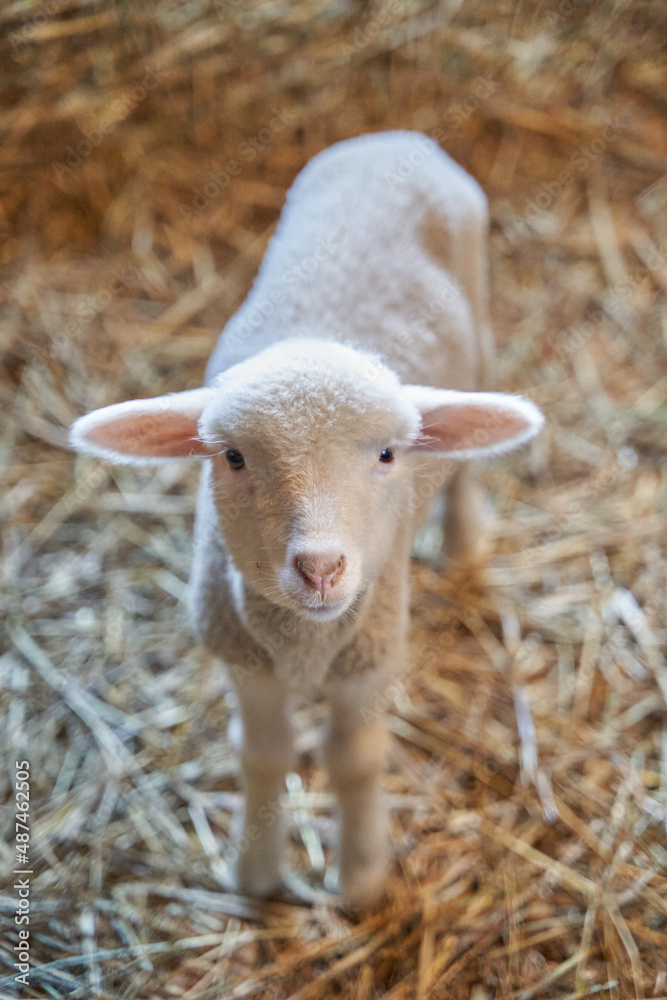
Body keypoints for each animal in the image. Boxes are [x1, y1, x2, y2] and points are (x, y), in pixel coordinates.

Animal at [70, 131, 544, 908]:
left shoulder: (370, 656)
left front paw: (361, 879)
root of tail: (393, 139)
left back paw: (463, 540)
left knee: (469, 454)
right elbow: (262, 754)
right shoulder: (243, 658)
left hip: (476, 311)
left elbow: (353, 759)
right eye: (232, 457)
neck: (304, 645)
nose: (320, 568)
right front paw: (257, 874)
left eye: (388, 454)